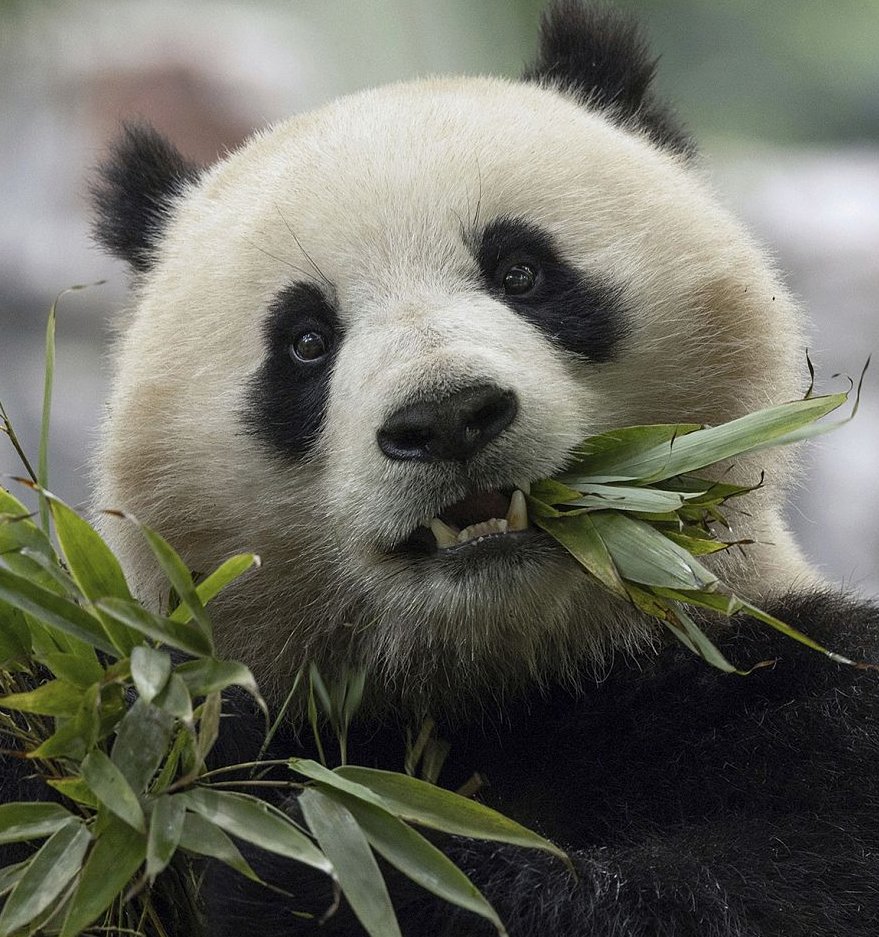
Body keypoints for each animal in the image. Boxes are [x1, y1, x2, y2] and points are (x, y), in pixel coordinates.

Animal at [38, 1, 879, 935]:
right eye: (305, 340)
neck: (508, 674)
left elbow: (762, 881)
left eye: (521, 271)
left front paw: (322, 850)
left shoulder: (783, 692)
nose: (445, 417)